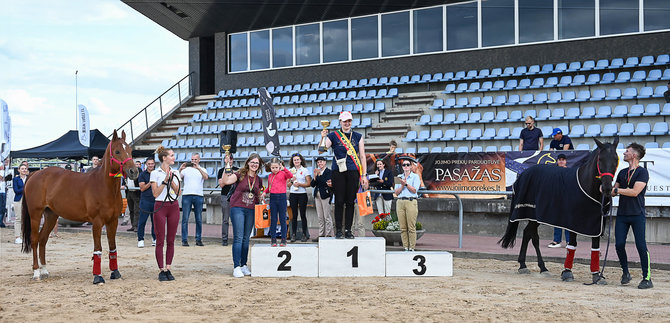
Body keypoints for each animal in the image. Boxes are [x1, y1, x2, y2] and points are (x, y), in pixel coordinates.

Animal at [21, 130, 139, 284]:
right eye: (117, 151)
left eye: (130, 150)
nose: (134, 171)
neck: (104, 186)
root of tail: (35, 173)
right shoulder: (97, 222)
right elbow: (98, 248)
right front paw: (97, 276)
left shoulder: (113, 221)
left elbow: (112, 247)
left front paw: (115, 272)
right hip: (35, 214)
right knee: (34, 239)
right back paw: (36, 272)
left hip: (51, 215)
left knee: (43, 239)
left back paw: (45, 271)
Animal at [498, 138, 620, 284]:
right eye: (600, 159)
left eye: (615, 159)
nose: (607, 188)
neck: (585, 186)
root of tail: (523, 174)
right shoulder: (574, 222)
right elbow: (572, 245)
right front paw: (567, 272)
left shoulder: (596, 222)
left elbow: (595, 248)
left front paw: (596, 275)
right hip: (533, 214)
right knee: (533, 236)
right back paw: (538, 267)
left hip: (536, 217)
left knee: (528, 233)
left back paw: (526, 265)